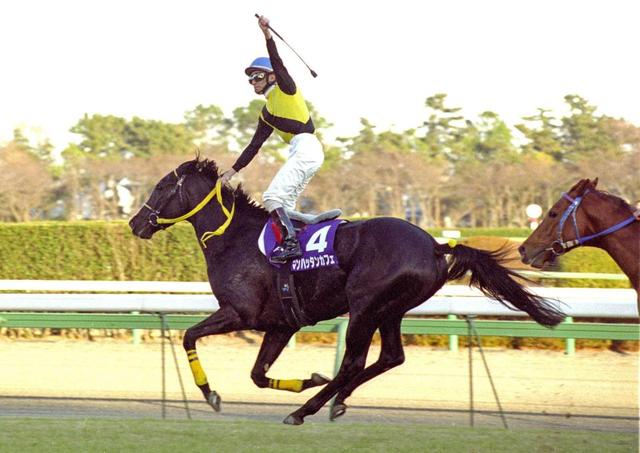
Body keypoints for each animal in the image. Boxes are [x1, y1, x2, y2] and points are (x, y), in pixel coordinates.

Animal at [129, 157, 565, 425]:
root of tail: (436, 245)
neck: (235, 238)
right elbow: (257, 375)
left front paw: (210, 394)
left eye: (162, 187)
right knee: (391, 357)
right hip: (392, 309)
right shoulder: (281, 324)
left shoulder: (240, 313)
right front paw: (308, 379)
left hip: (365, 306)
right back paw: (334, 400)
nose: (135, 223)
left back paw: (305, 410)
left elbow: (189, 336)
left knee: (354, 361)